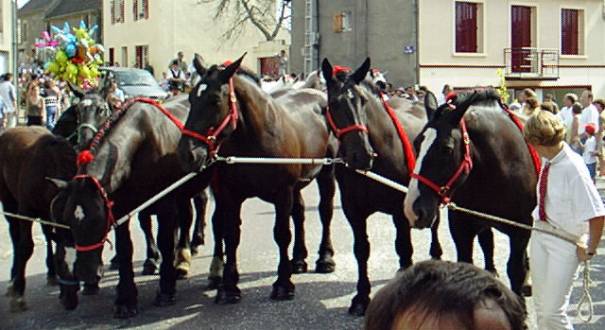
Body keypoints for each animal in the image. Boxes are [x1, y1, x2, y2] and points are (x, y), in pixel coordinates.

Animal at [177, 54, 338, 304]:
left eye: (214, 100)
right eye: (192, 98)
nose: (187, 154)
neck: (255, 140)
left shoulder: (282, 192)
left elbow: (282, 234)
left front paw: (283, 284)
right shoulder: (230, 193)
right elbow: (231, 234)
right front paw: (229, 287)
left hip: (326, 174)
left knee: (325, 211)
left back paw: (325, 258)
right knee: (299, 213)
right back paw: (298, 259)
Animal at [404, 91, 536, 300]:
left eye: (446, 149)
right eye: (417, 143)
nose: (413, 209)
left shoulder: (521, 228)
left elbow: (515, 270)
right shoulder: (461, 226)